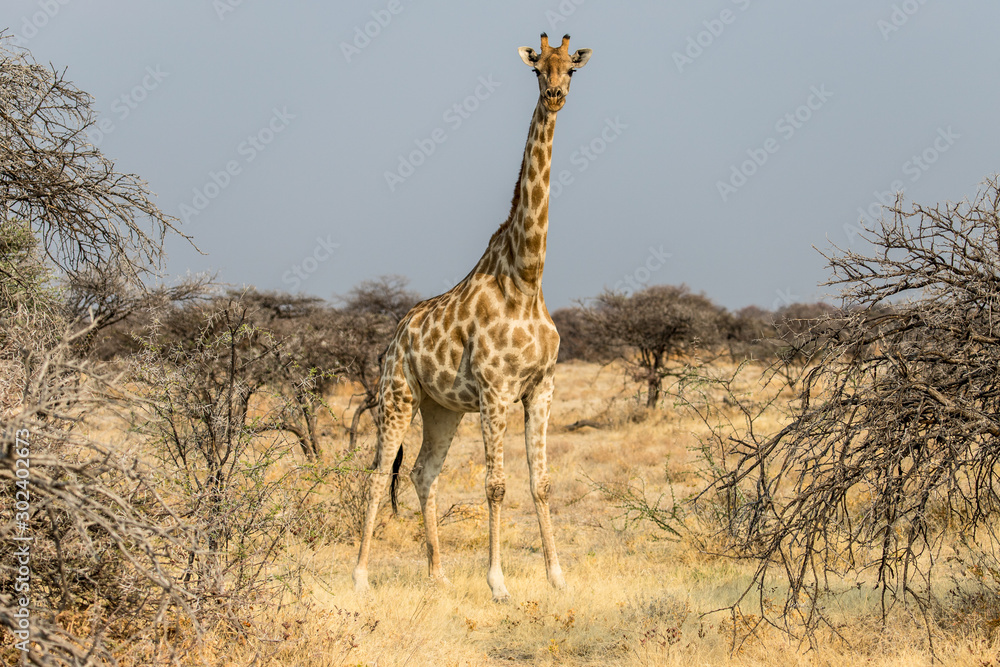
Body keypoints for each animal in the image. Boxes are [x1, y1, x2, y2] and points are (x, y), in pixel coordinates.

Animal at [352, 33, 592, 602]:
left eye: (571, 69)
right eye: (537, 69)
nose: (555, 96)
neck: (526, 278)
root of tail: (392, 339)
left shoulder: (541, 387)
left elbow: (540, 482)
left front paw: (557, 577)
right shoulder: (496, 390)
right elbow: (497, 485)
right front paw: (497, 583)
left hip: (442, 408)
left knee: (422, 472)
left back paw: (437, 575)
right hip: (397, 395)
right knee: (375, 474)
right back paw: (361, 577)